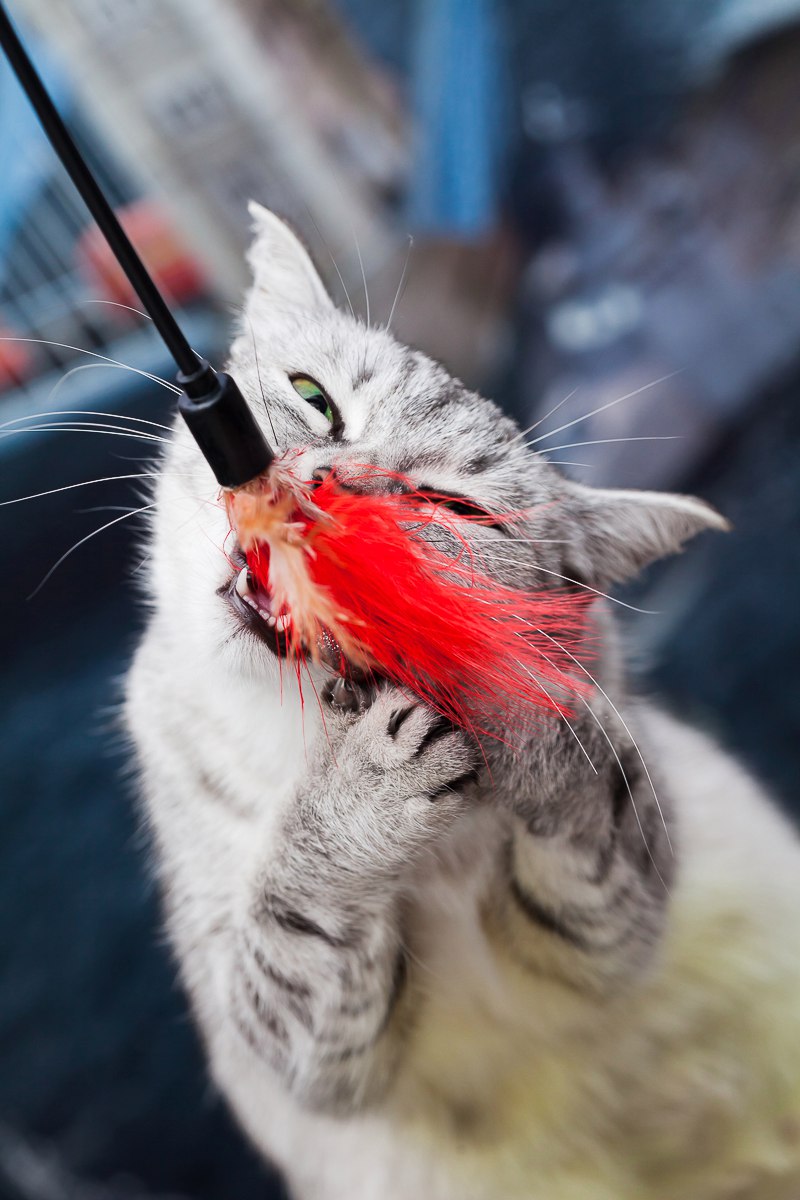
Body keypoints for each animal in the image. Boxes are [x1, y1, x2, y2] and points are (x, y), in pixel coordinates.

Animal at [125, 202, 800, 1200]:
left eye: (455, 510)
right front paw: (360, 799)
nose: (324, 488)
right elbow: (295, 909)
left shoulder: (604, 942)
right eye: (313, 397)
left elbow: (598, 828)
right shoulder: (288, 1049)